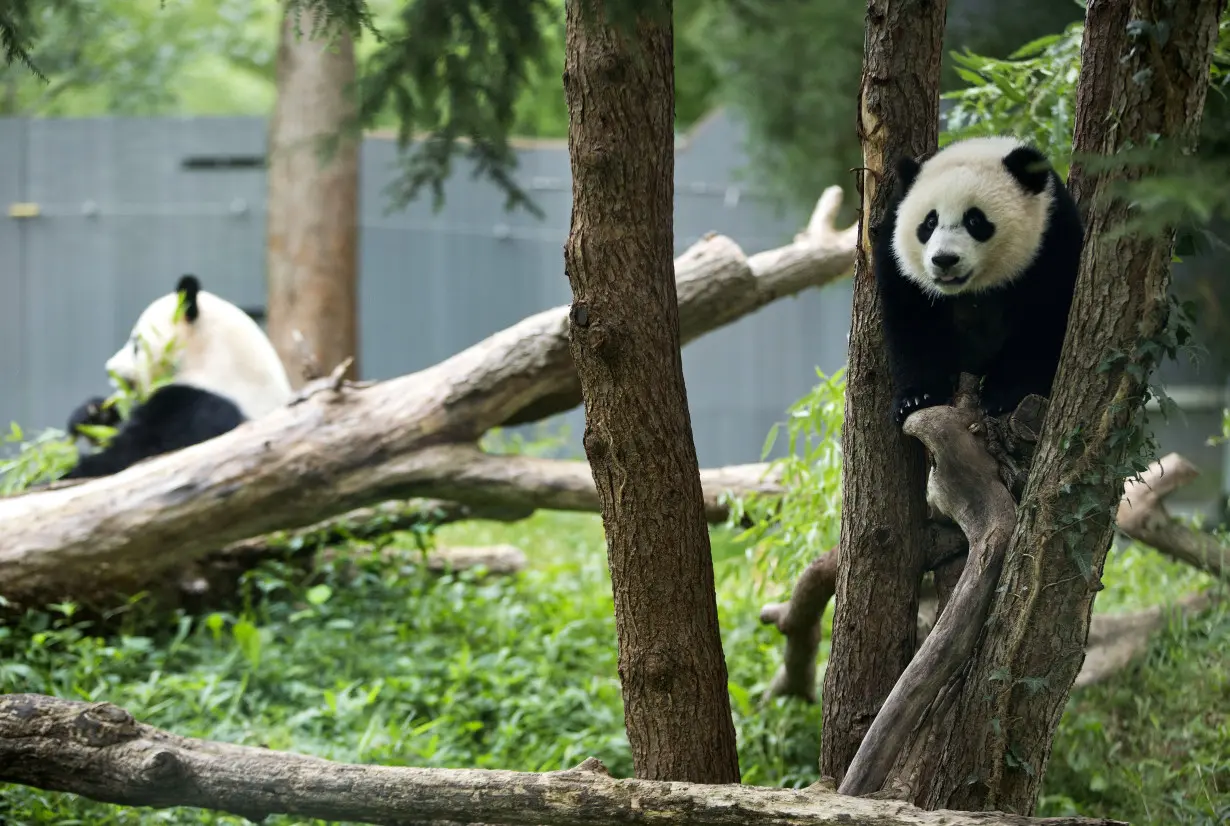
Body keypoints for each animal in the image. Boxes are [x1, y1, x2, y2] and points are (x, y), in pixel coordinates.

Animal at [875, 135, 1087, 425]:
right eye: (929, 222)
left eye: (975, 220)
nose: (944, 259)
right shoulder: (896, 258)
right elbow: (912, 320)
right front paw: (917, 397)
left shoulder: (1051, 240)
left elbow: (1043, 319)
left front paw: (1003, 394)